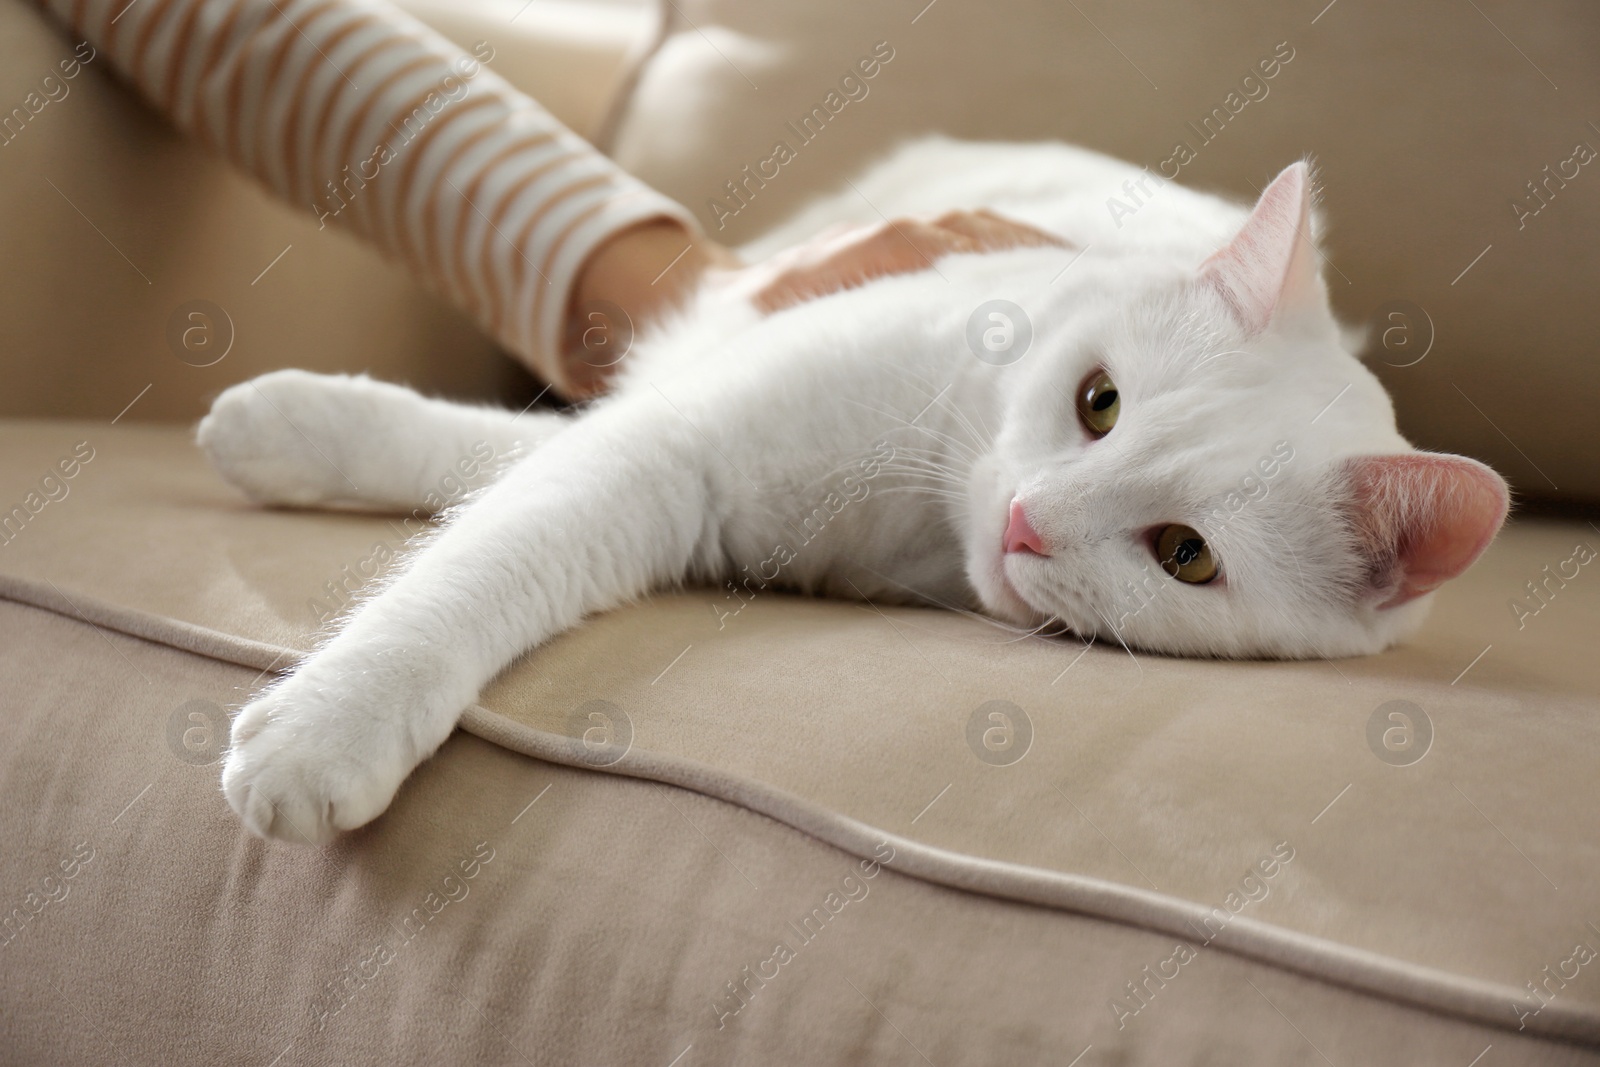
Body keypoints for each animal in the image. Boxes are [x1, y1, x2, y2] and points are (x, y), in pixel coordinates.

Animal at [200, 139, 1510, 844]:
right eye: (1097, 402)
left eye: (1185, 554)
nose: (1027, 519)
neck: (919, 527)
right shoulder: (681, 437)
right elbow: (486, 538)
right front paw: (329, 715)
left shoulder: (667, 466)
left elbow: (505, 501)